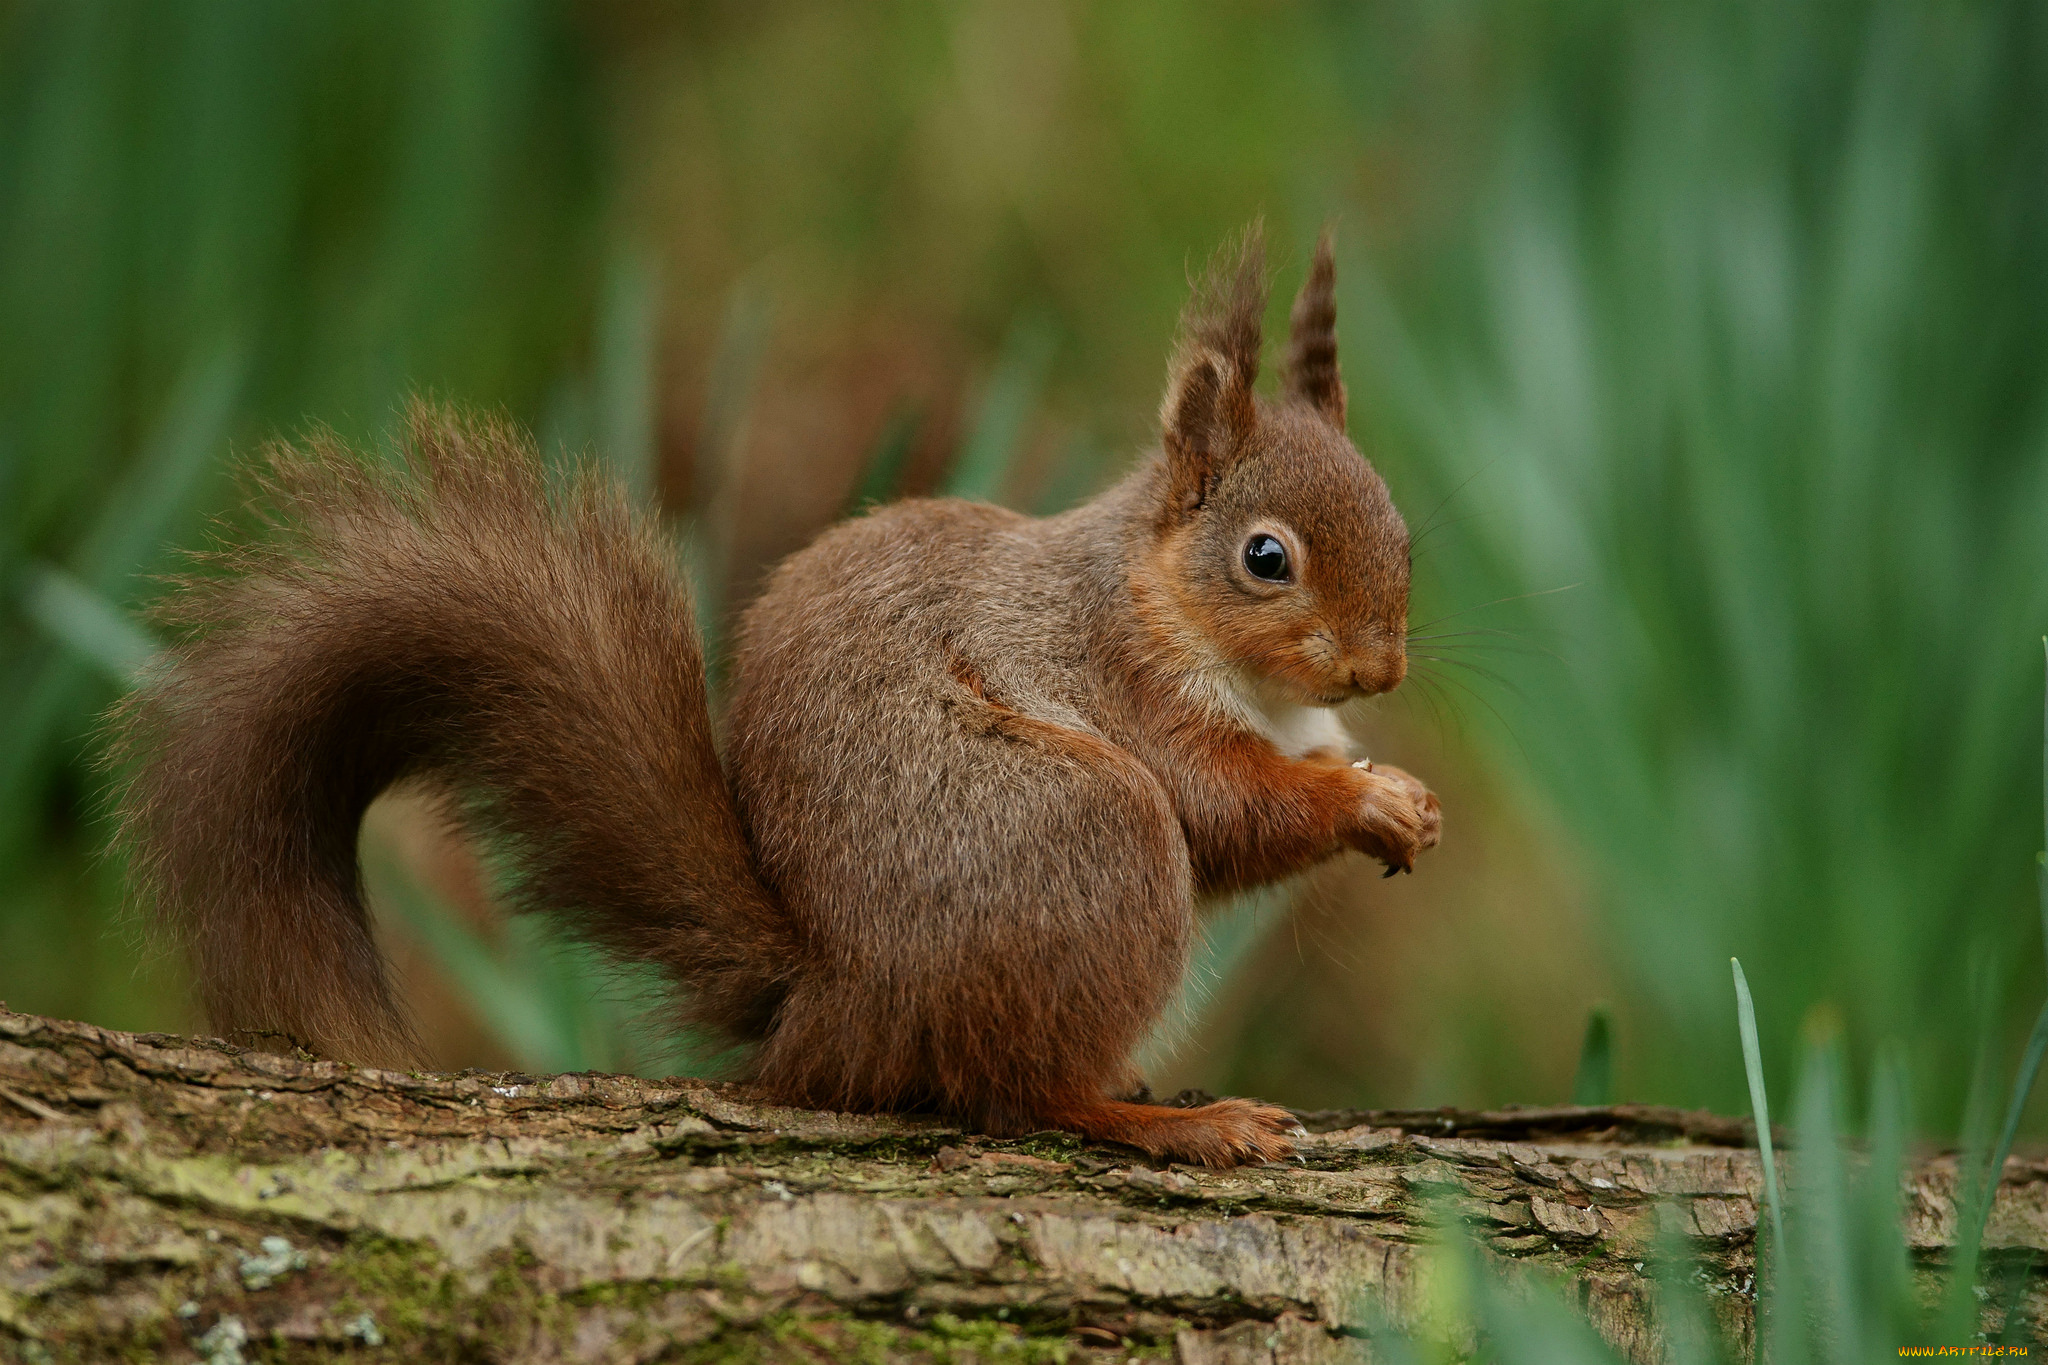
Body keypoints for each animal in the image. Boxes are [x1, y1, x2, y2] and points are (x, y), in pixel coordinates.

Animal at [112, 229, 1441, 1170]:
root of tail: (835, 1004)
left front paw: (1401, 794)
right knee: (1019, 1094)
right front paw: (1360, 805)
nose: (1378, 671)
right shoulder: (1121, 685)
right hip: (1085, 834)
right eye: (1264, 558)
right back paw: (1170, 1122)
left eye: (1403, 530)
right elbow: (1224, 809)